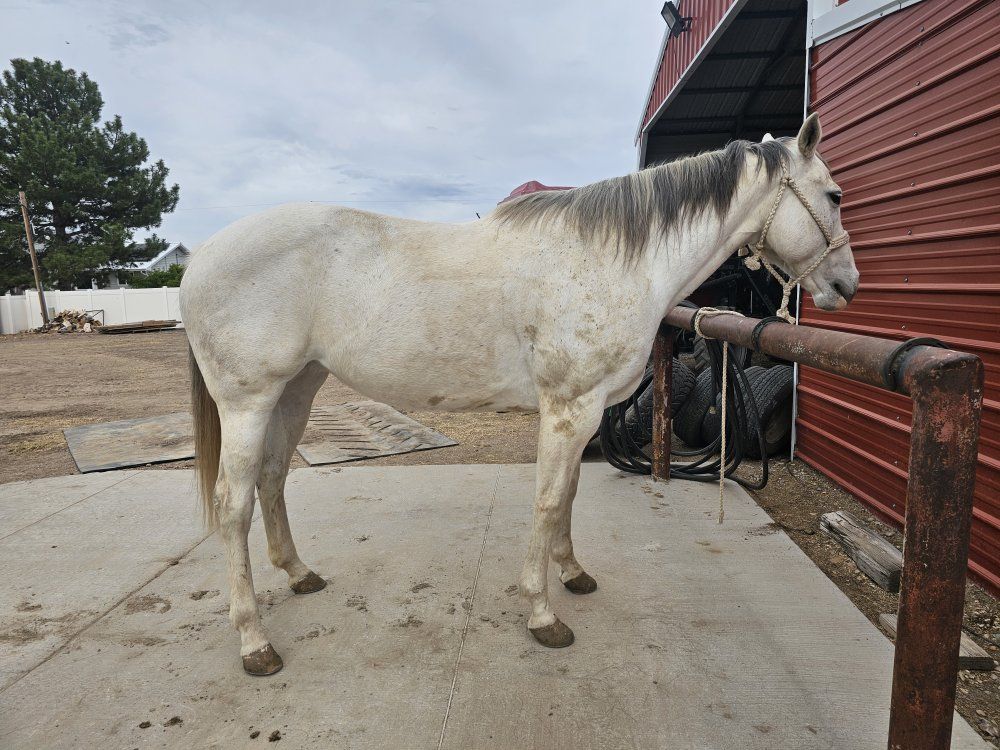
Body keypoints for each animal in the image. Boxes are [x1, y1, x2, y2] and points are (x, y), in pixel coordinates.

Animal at [180, 114, 858, 675]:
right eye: (834, 195)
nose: (846, 284)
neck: (616, 262)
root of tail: (202, 255)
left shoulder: (584, 413)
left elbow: (569, 495)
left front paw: (573, 572)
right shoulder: (569, 409)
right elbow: (549, 498)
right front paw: (542, 613)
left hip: (297, 389)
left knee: (272, 477)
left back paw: (299, 574)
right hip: (247, 403)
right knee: (234, 503)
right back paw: (255, 642)